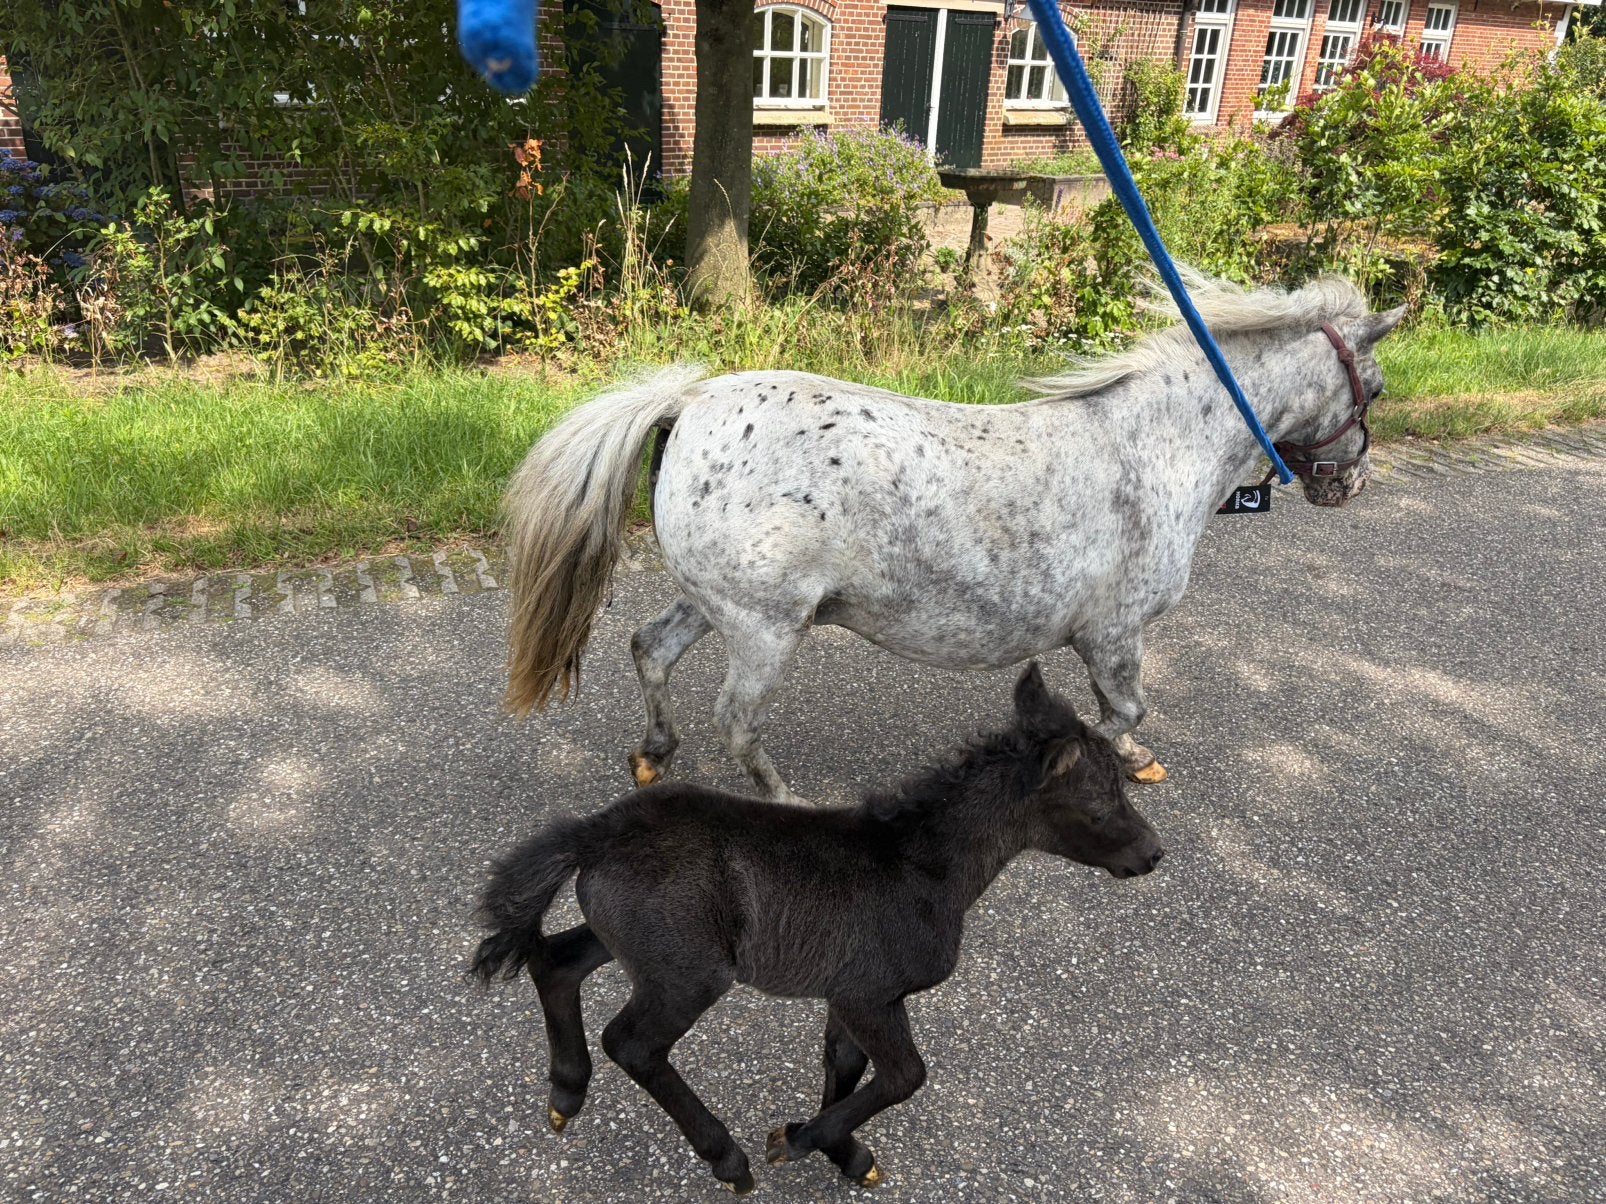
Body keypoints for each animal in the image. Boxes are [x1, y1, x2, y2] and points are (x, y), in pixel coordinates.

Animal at [472, 663, 1163, 1193]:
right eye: (1101, 806)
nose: (1153, 854)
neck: (924, 866)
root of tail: (597, 834)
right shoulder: (870, 992)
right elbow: (905, 1075)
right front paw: (801, 1141)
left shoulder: (851, 992)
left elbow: (844, 1065)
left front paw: (841, 1153)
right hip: (689, 971)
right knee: (633, 1043)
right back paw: (727, 1160)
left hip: (631, 941)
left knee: (556, 961)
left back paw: (565, 1094)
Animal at [502, 275, 1406, 804]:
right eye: (1379, 387)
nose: (1350, 485)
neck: (1158, 445)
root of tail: (687, 404)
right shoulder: (1113, 633)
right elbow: (1122, 711)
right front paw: (1106, 763)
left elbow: (1122, 712)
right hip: (764, 628)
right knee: (735, 720)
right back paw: (784, 799)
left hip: (713, 602)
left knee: (649, 650)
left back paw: (654, 754)